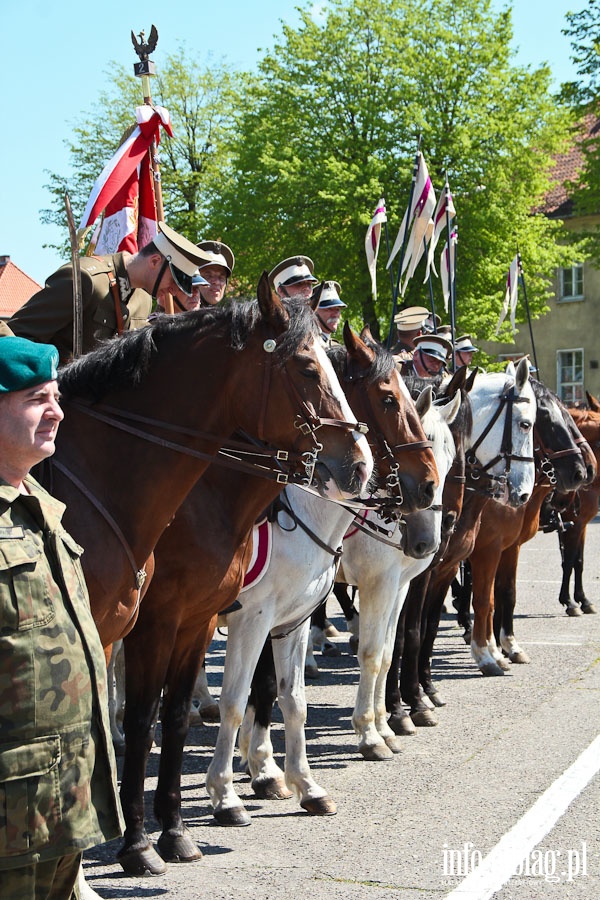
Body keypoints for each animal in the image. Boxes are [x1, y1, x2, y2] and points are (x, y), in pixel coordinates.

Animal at [116, 324, 436, 872]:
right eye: (388, 398)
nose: (429, 486)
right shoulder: (252, 619)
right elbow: (240, 699)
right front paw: (230, 792)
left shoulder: (293, 621)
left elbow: (291, 699)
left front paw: (299, 782)